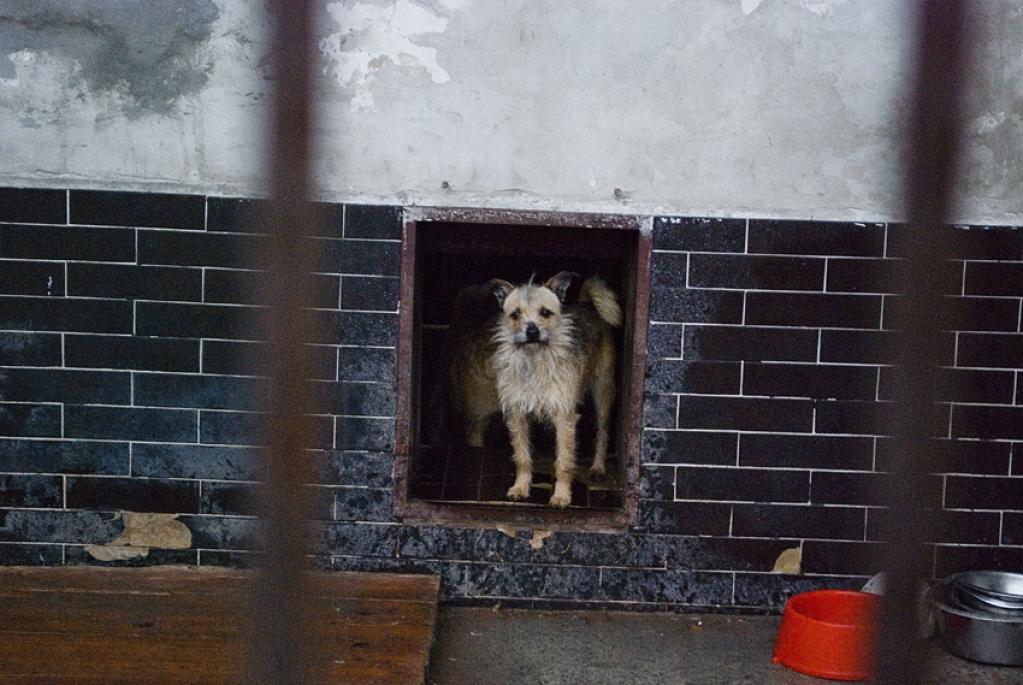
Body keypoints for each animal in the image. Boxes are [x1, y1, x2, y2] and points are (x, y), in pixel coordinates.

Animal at [449, 271, 622, 508]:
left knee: (603, 431)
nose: (532, 331)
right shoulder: (516, 416)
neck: (533, 360)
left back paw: (598, 467)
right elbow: (522, 457)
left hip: (603, 393)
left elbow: (564, 461)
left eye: (545, 312)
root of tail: (586, 305)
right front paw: (520, 488)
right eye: (515, 314)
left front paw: (561, 496)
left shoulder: (564, 418)